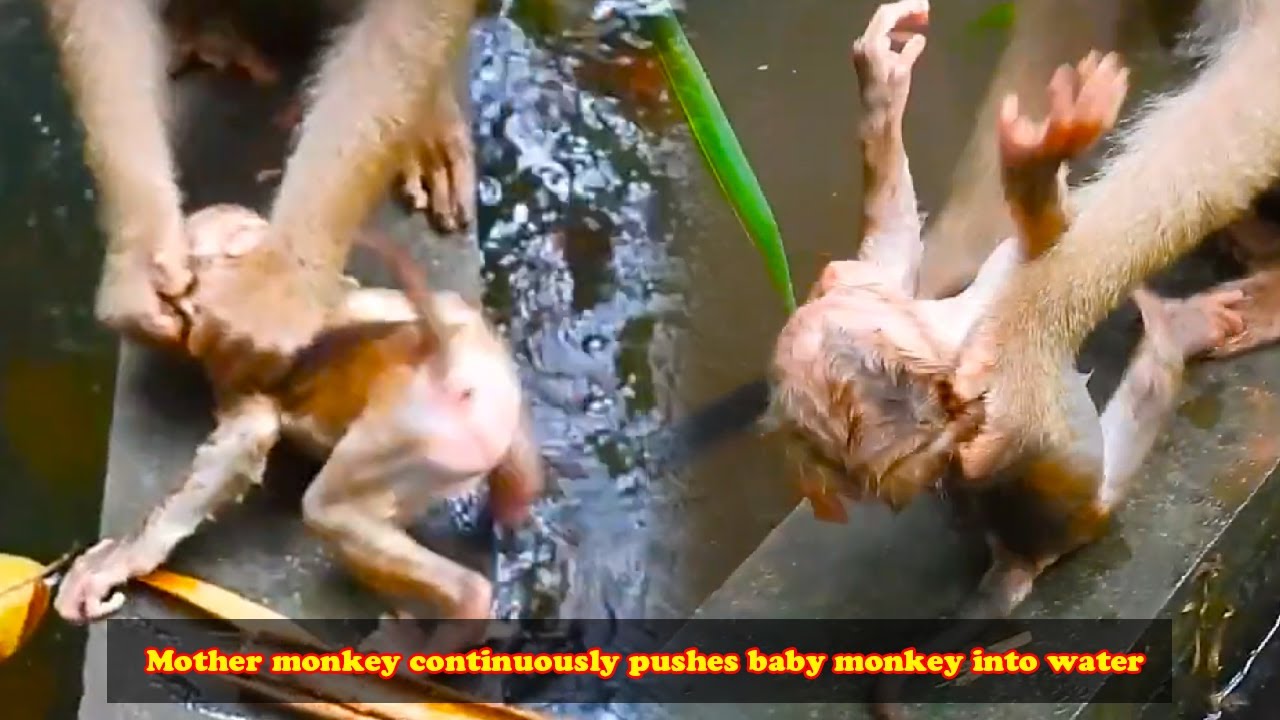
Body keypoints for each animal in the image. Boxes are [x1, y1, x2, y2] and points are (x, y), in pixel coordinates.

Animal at [52, 204, 545, 654]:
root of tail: (447, 363)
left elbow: (248, 437)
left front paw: (120, 562)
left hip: (413, 427)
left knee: (328, 509)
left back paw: (454, 615)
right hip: (491, 379)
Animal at [760, 4, 1245, 718]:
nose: (946, 425)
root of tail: (1017, 558)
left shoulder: (892, 305)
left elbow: (895, 248)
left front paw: (881, 87)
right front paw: (1039, 170)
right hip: (1088, 512)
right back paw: (1173, 331)